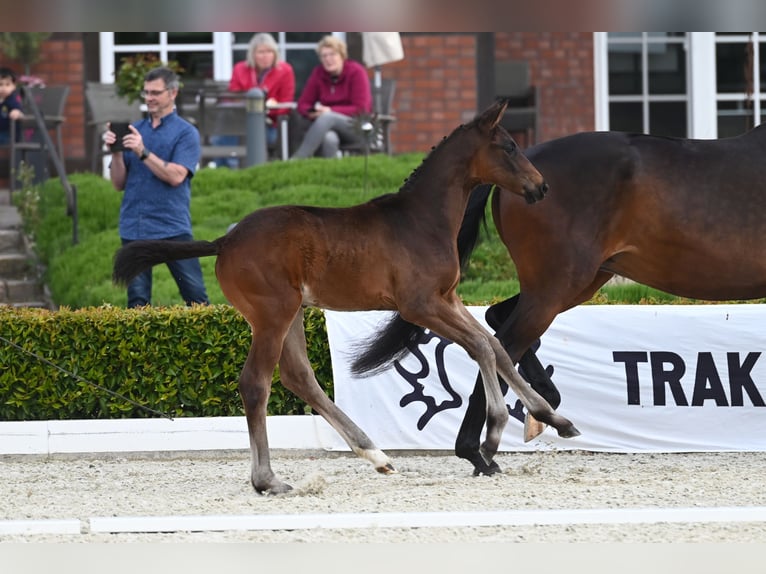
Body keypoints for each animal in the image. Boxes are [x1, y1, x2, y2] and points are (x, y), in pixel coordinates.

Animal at [114, 100, 580, 496]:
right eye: (510, 146)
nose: (541, 187)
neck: (421, 220)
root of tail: (224, 242)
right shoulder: (419, 305)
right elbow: (482, 347)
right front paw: (494, 435)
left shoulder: (446, 298)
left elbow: (496, 347)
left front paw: (553, 419)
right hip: (273, 315)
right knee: (256, 383)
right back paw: (268, 480)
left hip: (290, 315)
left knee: (299, 377)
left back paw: (375, 455)